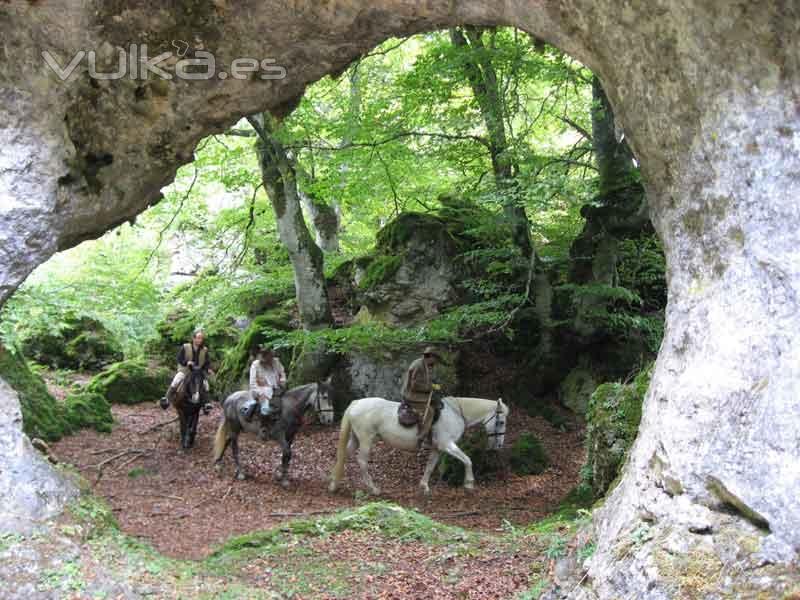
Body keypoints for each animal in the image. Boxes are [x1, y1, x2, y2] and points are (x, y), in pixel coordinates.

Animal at [328, 396, 510, 494]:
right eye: (501, 422)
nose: (499, 445)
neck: (456, 413)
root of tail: (356, 403)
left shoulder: (438, 448)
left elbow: (430, 466)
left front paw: (424, 487)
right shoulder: (447, 445)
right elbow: (467, 460)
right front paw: (469, 484)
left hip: (356, 438)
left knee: (343, 455)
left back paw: (334, 483)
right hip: (366, 439)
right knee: (362, 462)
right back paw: (374, 489)